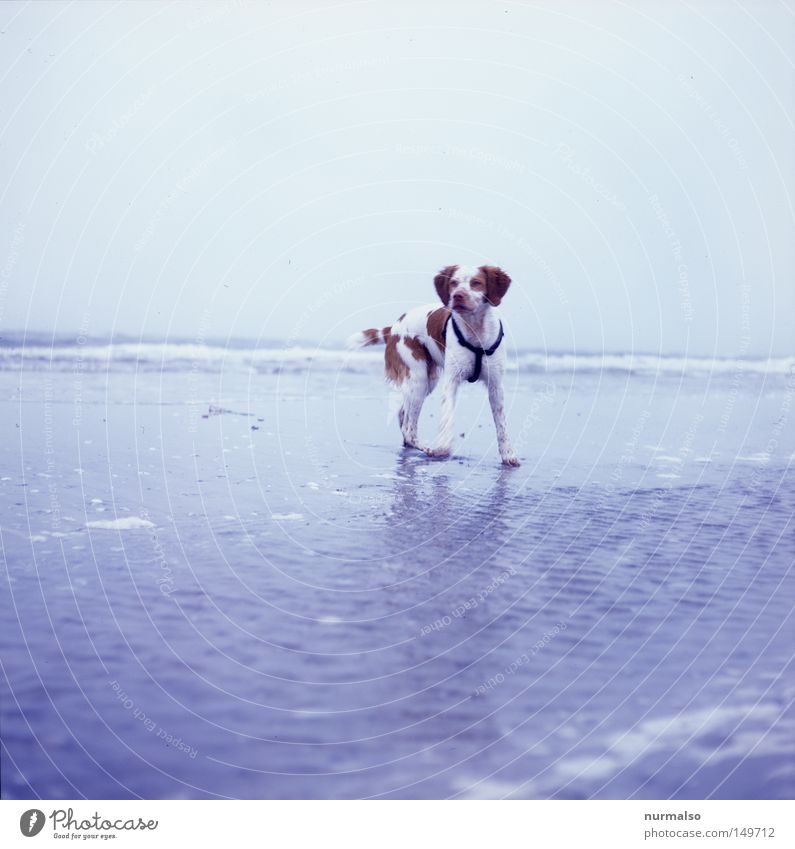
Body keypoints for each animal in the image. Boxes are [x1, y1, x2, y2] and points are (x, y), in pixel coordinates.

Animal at [346, 264, 520, 464]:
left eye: (476, 283)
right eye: (453, 283)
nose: (457, 295)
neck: (475, 330)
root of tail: (394, 327)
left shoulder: (495, 385)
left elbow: (501, 425)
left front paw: (508, 454)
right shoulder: (451, 380)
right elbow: (447, 418)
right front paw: (443, 447)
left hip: (428, 381)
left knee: (403, 415)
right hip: (418, 378)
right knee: (409, 428)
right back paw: (427, 448)